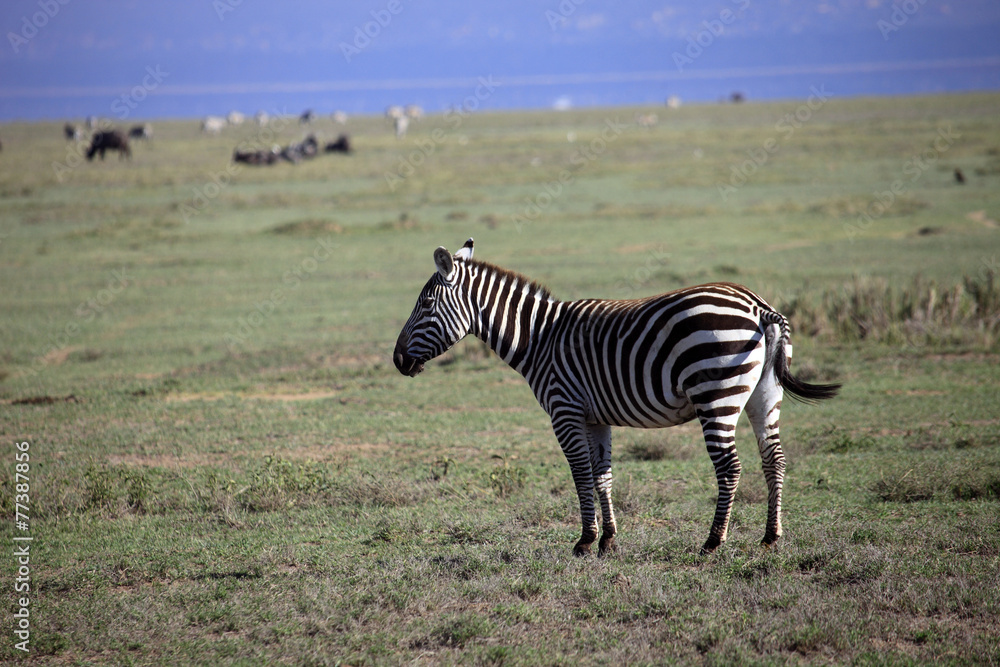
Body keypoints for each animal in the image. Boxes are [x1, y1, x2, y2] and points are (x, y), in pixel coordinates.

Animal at [393, 239, 841, 556]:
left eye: (426, 304)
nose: (397, 360)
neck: (539, 339)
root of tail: (759, 308)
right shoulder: (596, 416)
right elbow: (603, 474)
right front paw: (608, 540)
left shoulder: (565, 411)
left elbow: (580, 473)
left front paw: (584, 541)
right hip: (764, 393)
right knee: (774, 459)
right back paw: (770, 536)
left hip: (716, 397)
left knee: (730, 468)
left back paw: (713, 542)